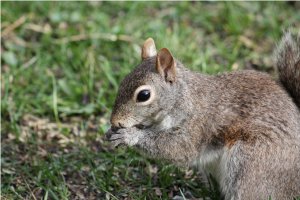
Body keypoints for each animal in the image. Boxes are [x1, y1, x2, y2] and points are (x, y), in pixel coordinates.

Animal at [105, 32, 300, 199]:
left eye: (144, 95)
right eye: (122, 82)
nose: (115, 120)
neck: (183, 97)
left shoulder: (197, 125)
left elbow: (178, 148)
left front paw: (130, 136)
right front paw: (111, 132)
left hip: (251, 165)